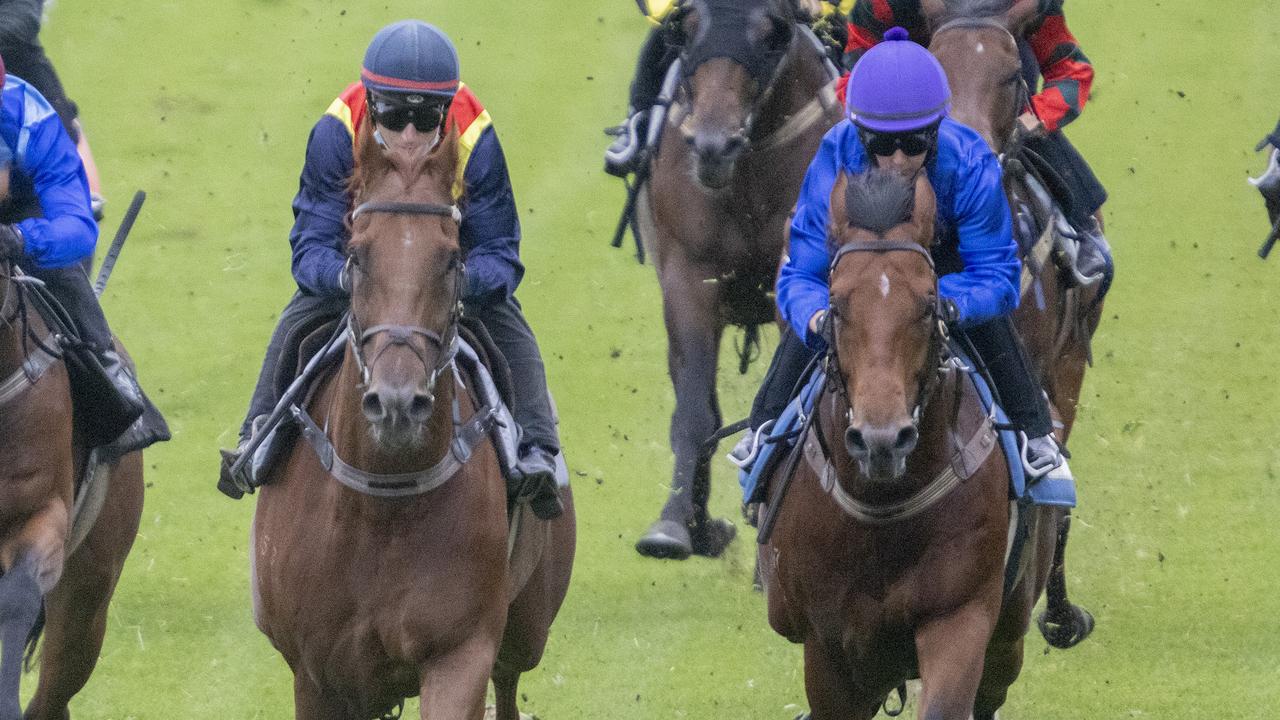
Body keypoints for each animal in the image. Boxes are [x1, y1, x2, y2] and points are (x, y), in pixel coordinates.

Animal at [632, 0, 849, 558]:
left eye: (771, 33)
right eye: (686, 29)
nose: (713, 145)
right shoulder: (688, 275)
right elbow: (694, 409)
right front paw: (675, 524)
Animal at [757, 169, 1059, 717]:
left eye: (926, 305)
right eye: (836, 305)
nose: (882, 440)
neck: (883, 507)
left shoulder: (959, 615)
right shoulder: (831, 647)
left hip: (1009, 630)